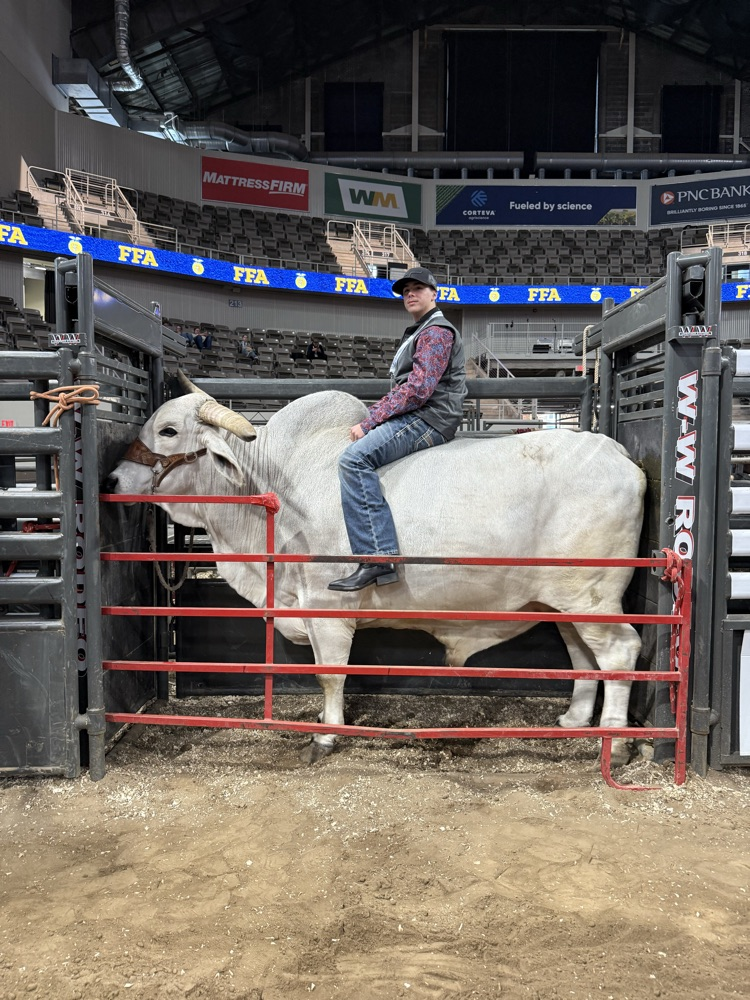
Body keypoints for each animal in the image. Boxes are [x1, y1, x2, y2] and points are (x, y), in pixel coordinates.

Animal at [107, 375, 647, 765]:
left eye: (169, 431)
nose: (111, 479)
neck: (275, 487)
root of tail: (619, 454)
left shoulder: (328, 610)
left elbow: (330, 676)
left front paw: (325, 737)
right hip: (564, 601)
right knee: (582, 657)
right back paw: (575, 721)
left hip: (593, 598)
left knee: (620, 652)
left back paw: (617, 745)